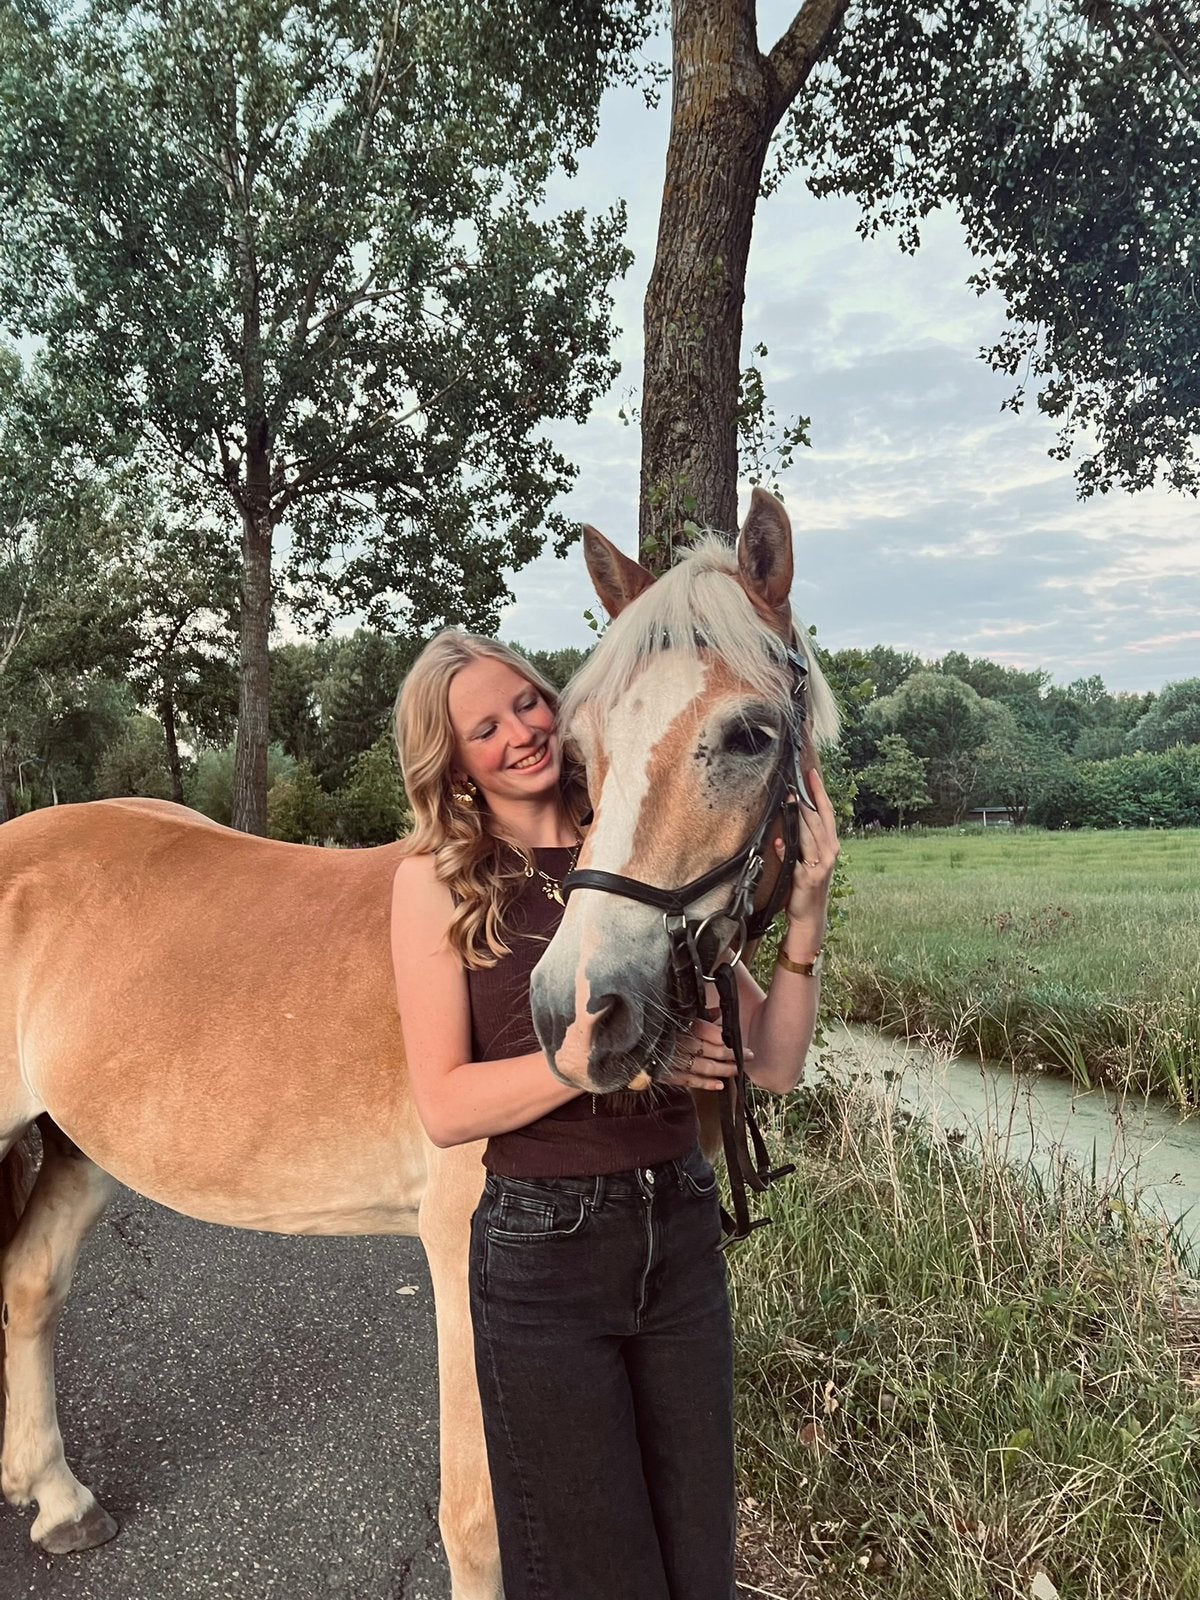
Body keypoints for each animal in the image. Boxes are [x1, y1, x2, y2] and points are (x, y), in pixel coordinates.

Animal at [0, 487, 837, 1597]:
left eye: (749, 735)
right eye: (582, 747)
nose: (582, 1008)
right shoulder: (459, 1258)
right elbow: (477, 1522)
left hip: (79, 1146)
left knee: (29, 1283)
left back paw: (57, 1498)